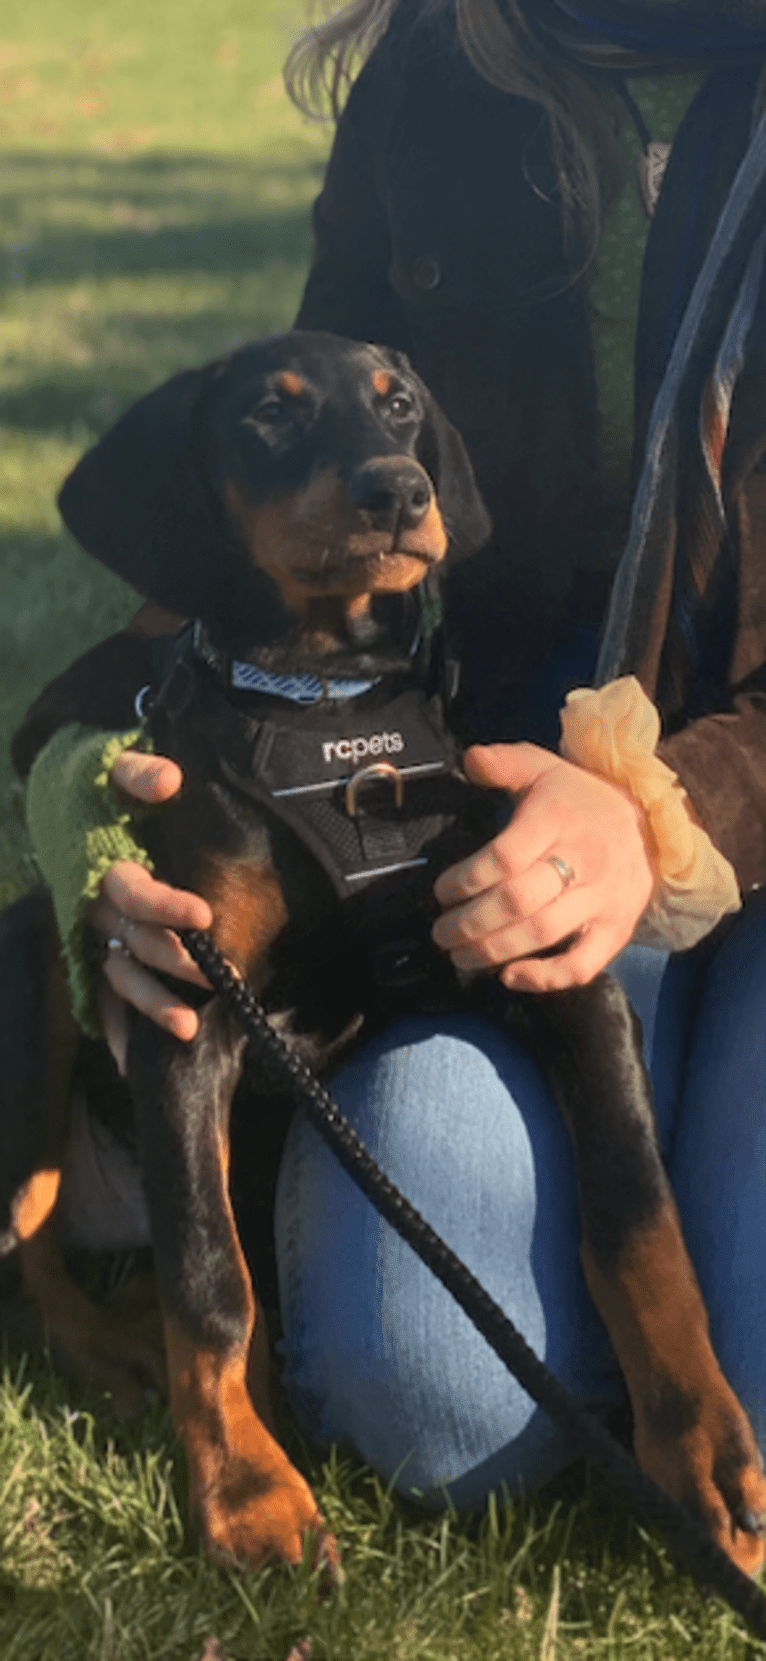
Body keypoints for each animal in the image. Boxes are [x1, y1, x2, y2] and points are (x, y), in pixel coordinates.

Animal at [4, 330, 764, 1574]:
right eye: (268, 414)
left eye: (397, 403)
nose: (399, 491)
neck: (329, 707)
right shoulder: (182, 1003)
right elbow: (206, 1275)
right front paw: (246, 1491)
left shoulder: (555, 961)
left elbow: (636, 1213)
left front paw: (702, 1450)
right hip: (33, 991)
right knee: (37, 1234)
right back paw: (122, 1354)